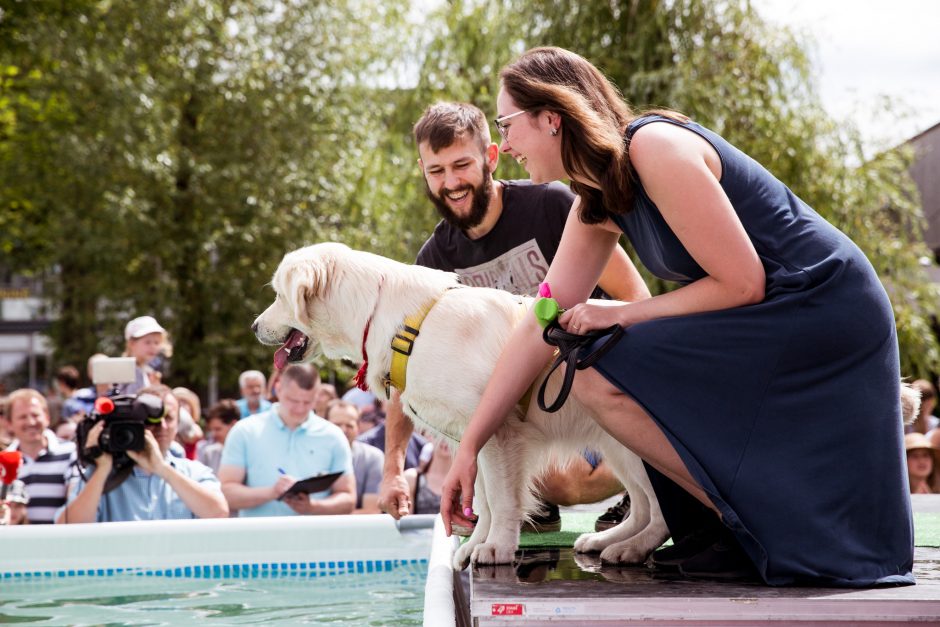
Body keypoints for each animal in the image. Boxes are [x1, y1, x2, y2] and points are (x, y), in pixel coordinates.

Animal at [253, 243, 672, 572]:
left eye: (279, 296)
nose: (254, 326)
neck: (401, 326)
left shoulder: (497, 431)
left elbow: (501, 499)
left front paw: (497, 547)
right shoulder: (471, 441)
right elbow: (482, 500)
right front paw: (475, 545)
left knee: (661, 509)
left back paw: (633, 546)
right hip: (617, 446)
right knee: (643, 505)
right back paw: (610, 541)